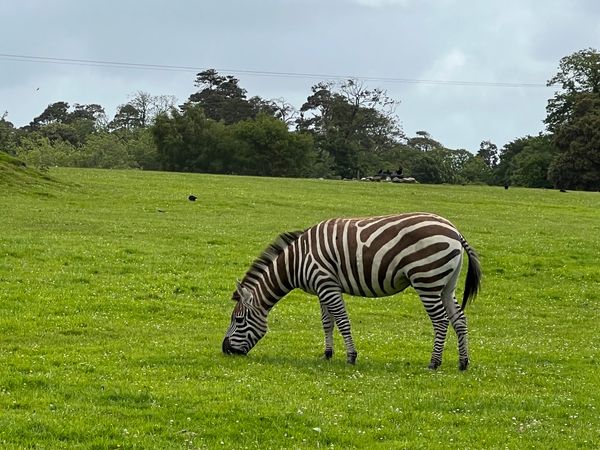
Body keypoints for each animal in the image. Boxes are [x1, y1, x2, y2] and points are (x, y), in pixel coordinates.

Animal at [223, 213, 480, 370]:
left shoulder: (327, 284)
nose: (225, 350)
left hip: (426, 280)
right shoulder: (322, 288)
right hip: (446, 284)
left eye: (238, 319)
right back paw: (463, 362)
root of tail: (454, 231)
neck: (296, 261)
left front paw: (351, 357)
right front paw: (327, 354)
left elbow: (342, 321)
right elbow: (327, 322)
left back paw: (434, 363)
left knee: (441, 321)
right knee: (459, 319)